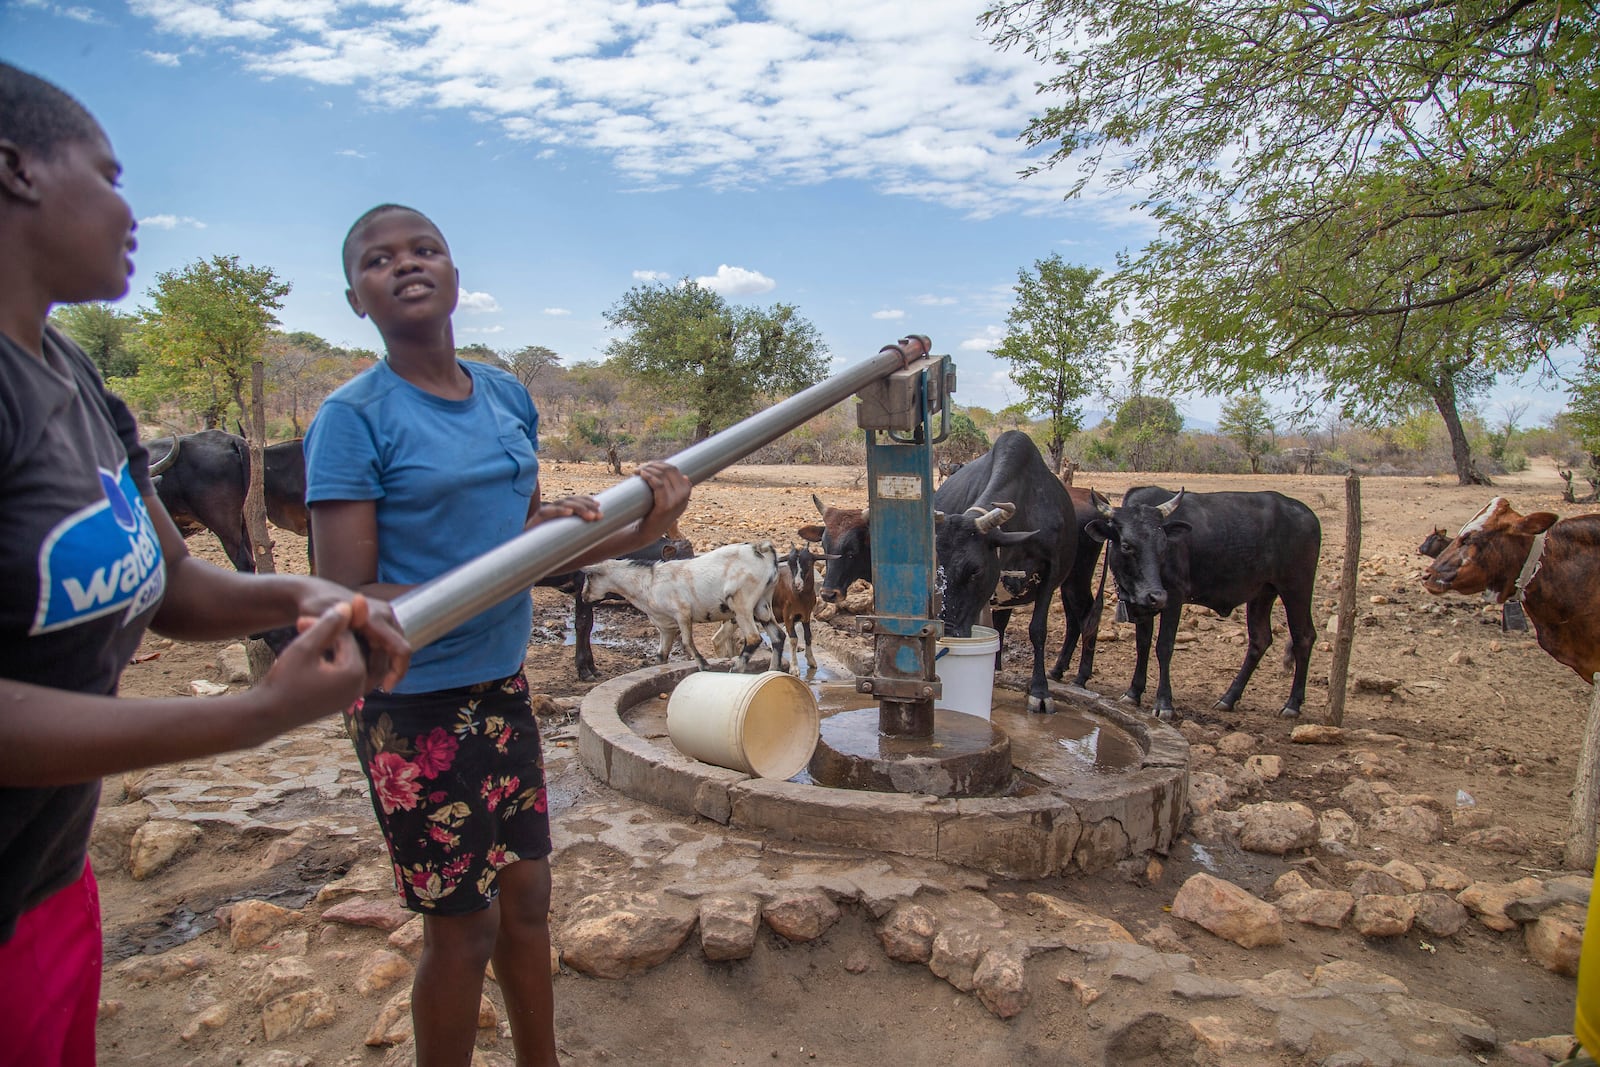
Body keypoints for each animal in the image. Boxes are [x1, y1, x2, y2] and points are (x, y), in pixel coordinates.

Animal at [588, 537, 787, 671]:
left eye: (589, 576)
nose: (584, 596)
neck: (648, 581)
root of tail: (761, 550)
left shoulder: (682, 613)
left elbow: (687, 643)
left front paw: (704, 666)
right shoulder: (665, 626)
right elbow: (661, 654)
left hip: (741, 603)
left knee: (753, 637)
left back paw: (736, 669)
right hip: (762, 604)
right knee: (778, 636)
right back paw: (771, 671)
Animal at [934, 428, 1081, 713]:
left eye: (975, 570)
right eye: (936, 568)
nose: (947, 633)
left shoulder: (1050, 574)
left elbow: (1038, 630)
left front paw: (1040, 691)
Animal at [1088, 489, 1324, 723]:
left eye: (1163, 545)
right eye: (1127, 546)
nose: (1157, 596)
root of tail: (1307, 513)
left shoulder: (1174, 597)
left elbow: (1164, 647)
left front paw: (1164, 704)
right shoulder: (1142, 604)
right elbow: (1142, 645)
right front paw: (1133, 693)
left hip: (1296, 588)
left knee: (1304, 637)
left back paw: (1292, 704)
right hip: (1263, 593)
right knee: (1260, 640)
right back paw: (1228, 698)